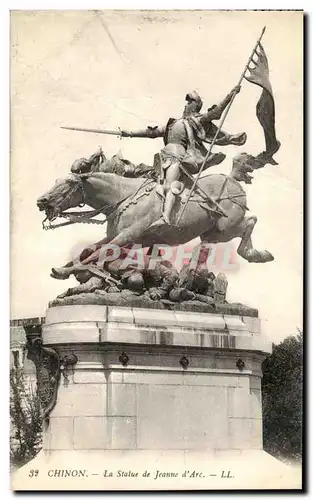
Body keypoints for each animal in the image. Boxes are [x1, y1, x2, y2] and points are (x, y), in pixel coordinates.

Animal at [36, 152, 270, 280]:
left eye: (69, 183)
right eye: (57, 180)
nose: (41, 201)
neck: (123, 196)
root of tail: (232, 180)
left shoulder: (128, 237)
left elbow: (99, 252)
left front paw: (67, 271)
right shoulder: (118, 237)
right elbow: (89, 249)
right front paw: (63, 268)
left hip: (223, 229)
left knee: (250, 221)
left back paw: (255, 254)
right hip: (213, 232)